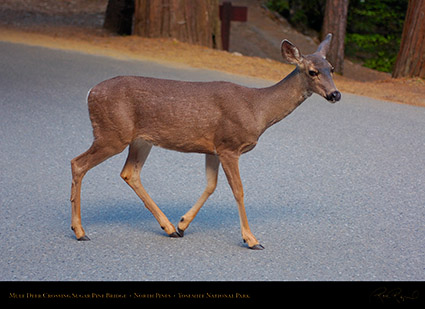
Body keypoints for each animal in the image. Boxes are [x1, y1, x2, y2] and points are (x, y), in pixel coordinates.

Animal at [70, 33, 342, 248]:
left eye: (331, 68)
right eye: (312, 71)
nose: (335, 94)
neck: (258, 110)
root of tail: (90, 93)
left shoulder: (213, 148)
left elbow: (211, 185)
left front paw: (182, 224)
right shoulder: (229, 145)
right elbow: (238, 190)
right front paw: (251, 239)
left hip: (140, 140)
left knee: (129, 173)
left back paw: (168, 227)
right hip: (112, 134)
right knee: (78, 163)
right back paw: (80, 231)